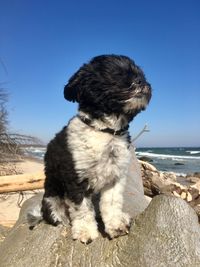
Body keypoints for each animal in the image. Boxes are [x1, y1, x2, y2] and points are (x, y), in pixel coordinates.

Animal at [28, 55, 152, 245]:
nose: (141, 82)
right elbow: (82, 209)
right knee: (57, 214)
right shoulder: (76, 180)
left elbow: (112, 204)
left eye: (142, 76)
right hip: (51, 199)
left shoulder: (115, 177)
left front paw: (115, 224)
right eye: (118, 74)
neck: (105, 131)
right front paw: (85, 231)